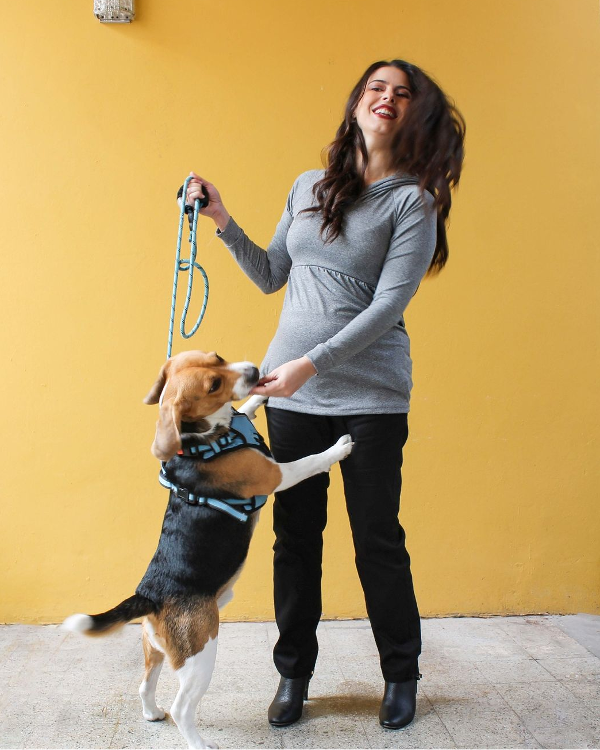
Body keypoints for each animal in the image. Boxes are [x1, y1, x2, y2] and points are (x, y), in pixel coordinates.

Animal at [62, 350, 353, 749]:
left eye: (218, 357)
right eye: (213, 384)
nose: (254, 371)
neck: (203, 436)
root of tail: (150, 595)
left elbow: (245, 406)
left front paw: (257, 400)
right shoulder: (275, 475)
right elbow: (309, 461)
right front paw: (338, 448)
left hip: (154, 649)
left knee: (144, 686)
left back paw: (152, 713)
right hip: (201, 655)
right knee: (183, 707)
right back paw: (198, 742)